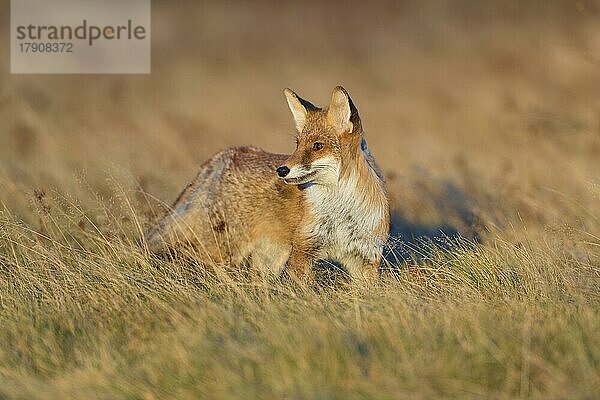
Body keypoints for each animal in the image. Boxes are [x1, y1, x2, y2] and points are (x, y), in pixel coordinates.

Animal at [145, 86, 390, 282]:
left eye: (317, 146)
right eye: (297, 144)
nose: (281, 170)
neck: (342, 212)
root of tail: (227, 153)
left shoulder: (365, 259)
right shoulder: (302, 251)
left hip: (269, 258)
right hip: (223, 252)